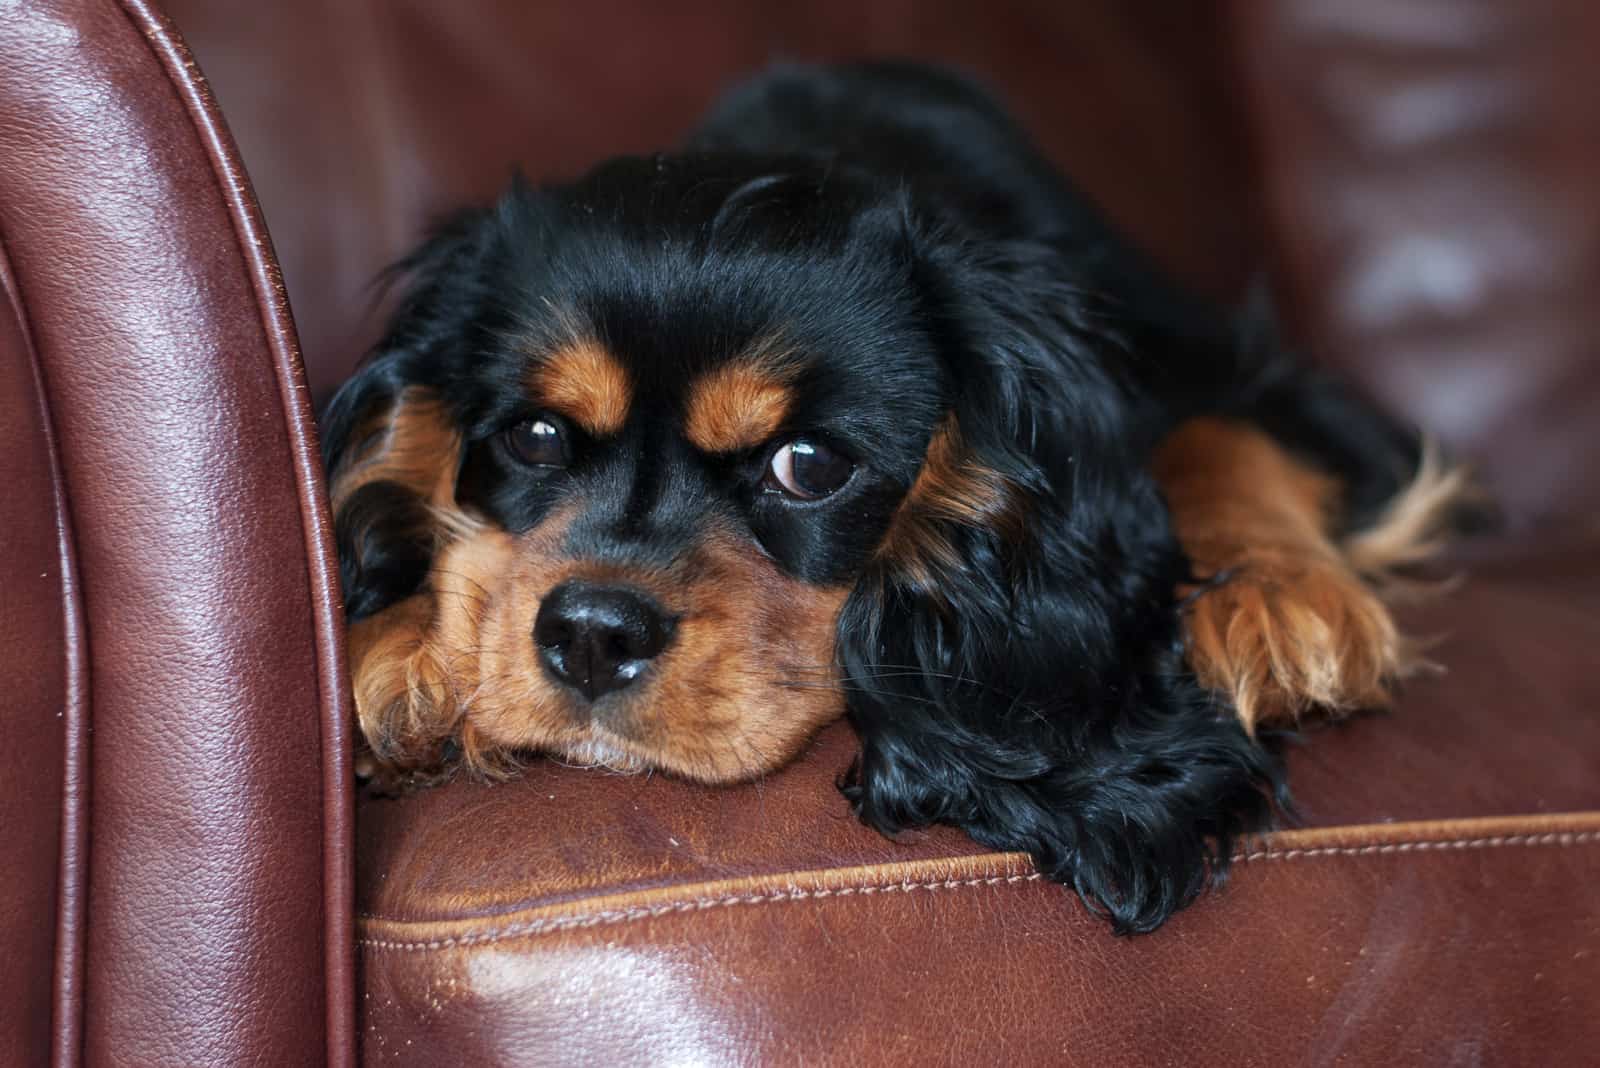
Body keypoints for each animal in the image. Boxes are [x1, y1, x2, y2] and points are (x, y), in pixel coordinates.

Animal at [321, 62, 1465, 927]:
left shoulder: (1256, 374)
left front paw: (1274, 597)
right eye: (536, 437)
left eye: (809, 467)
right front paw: (405, 638)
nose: (592, 636)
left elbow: (1222, 429)